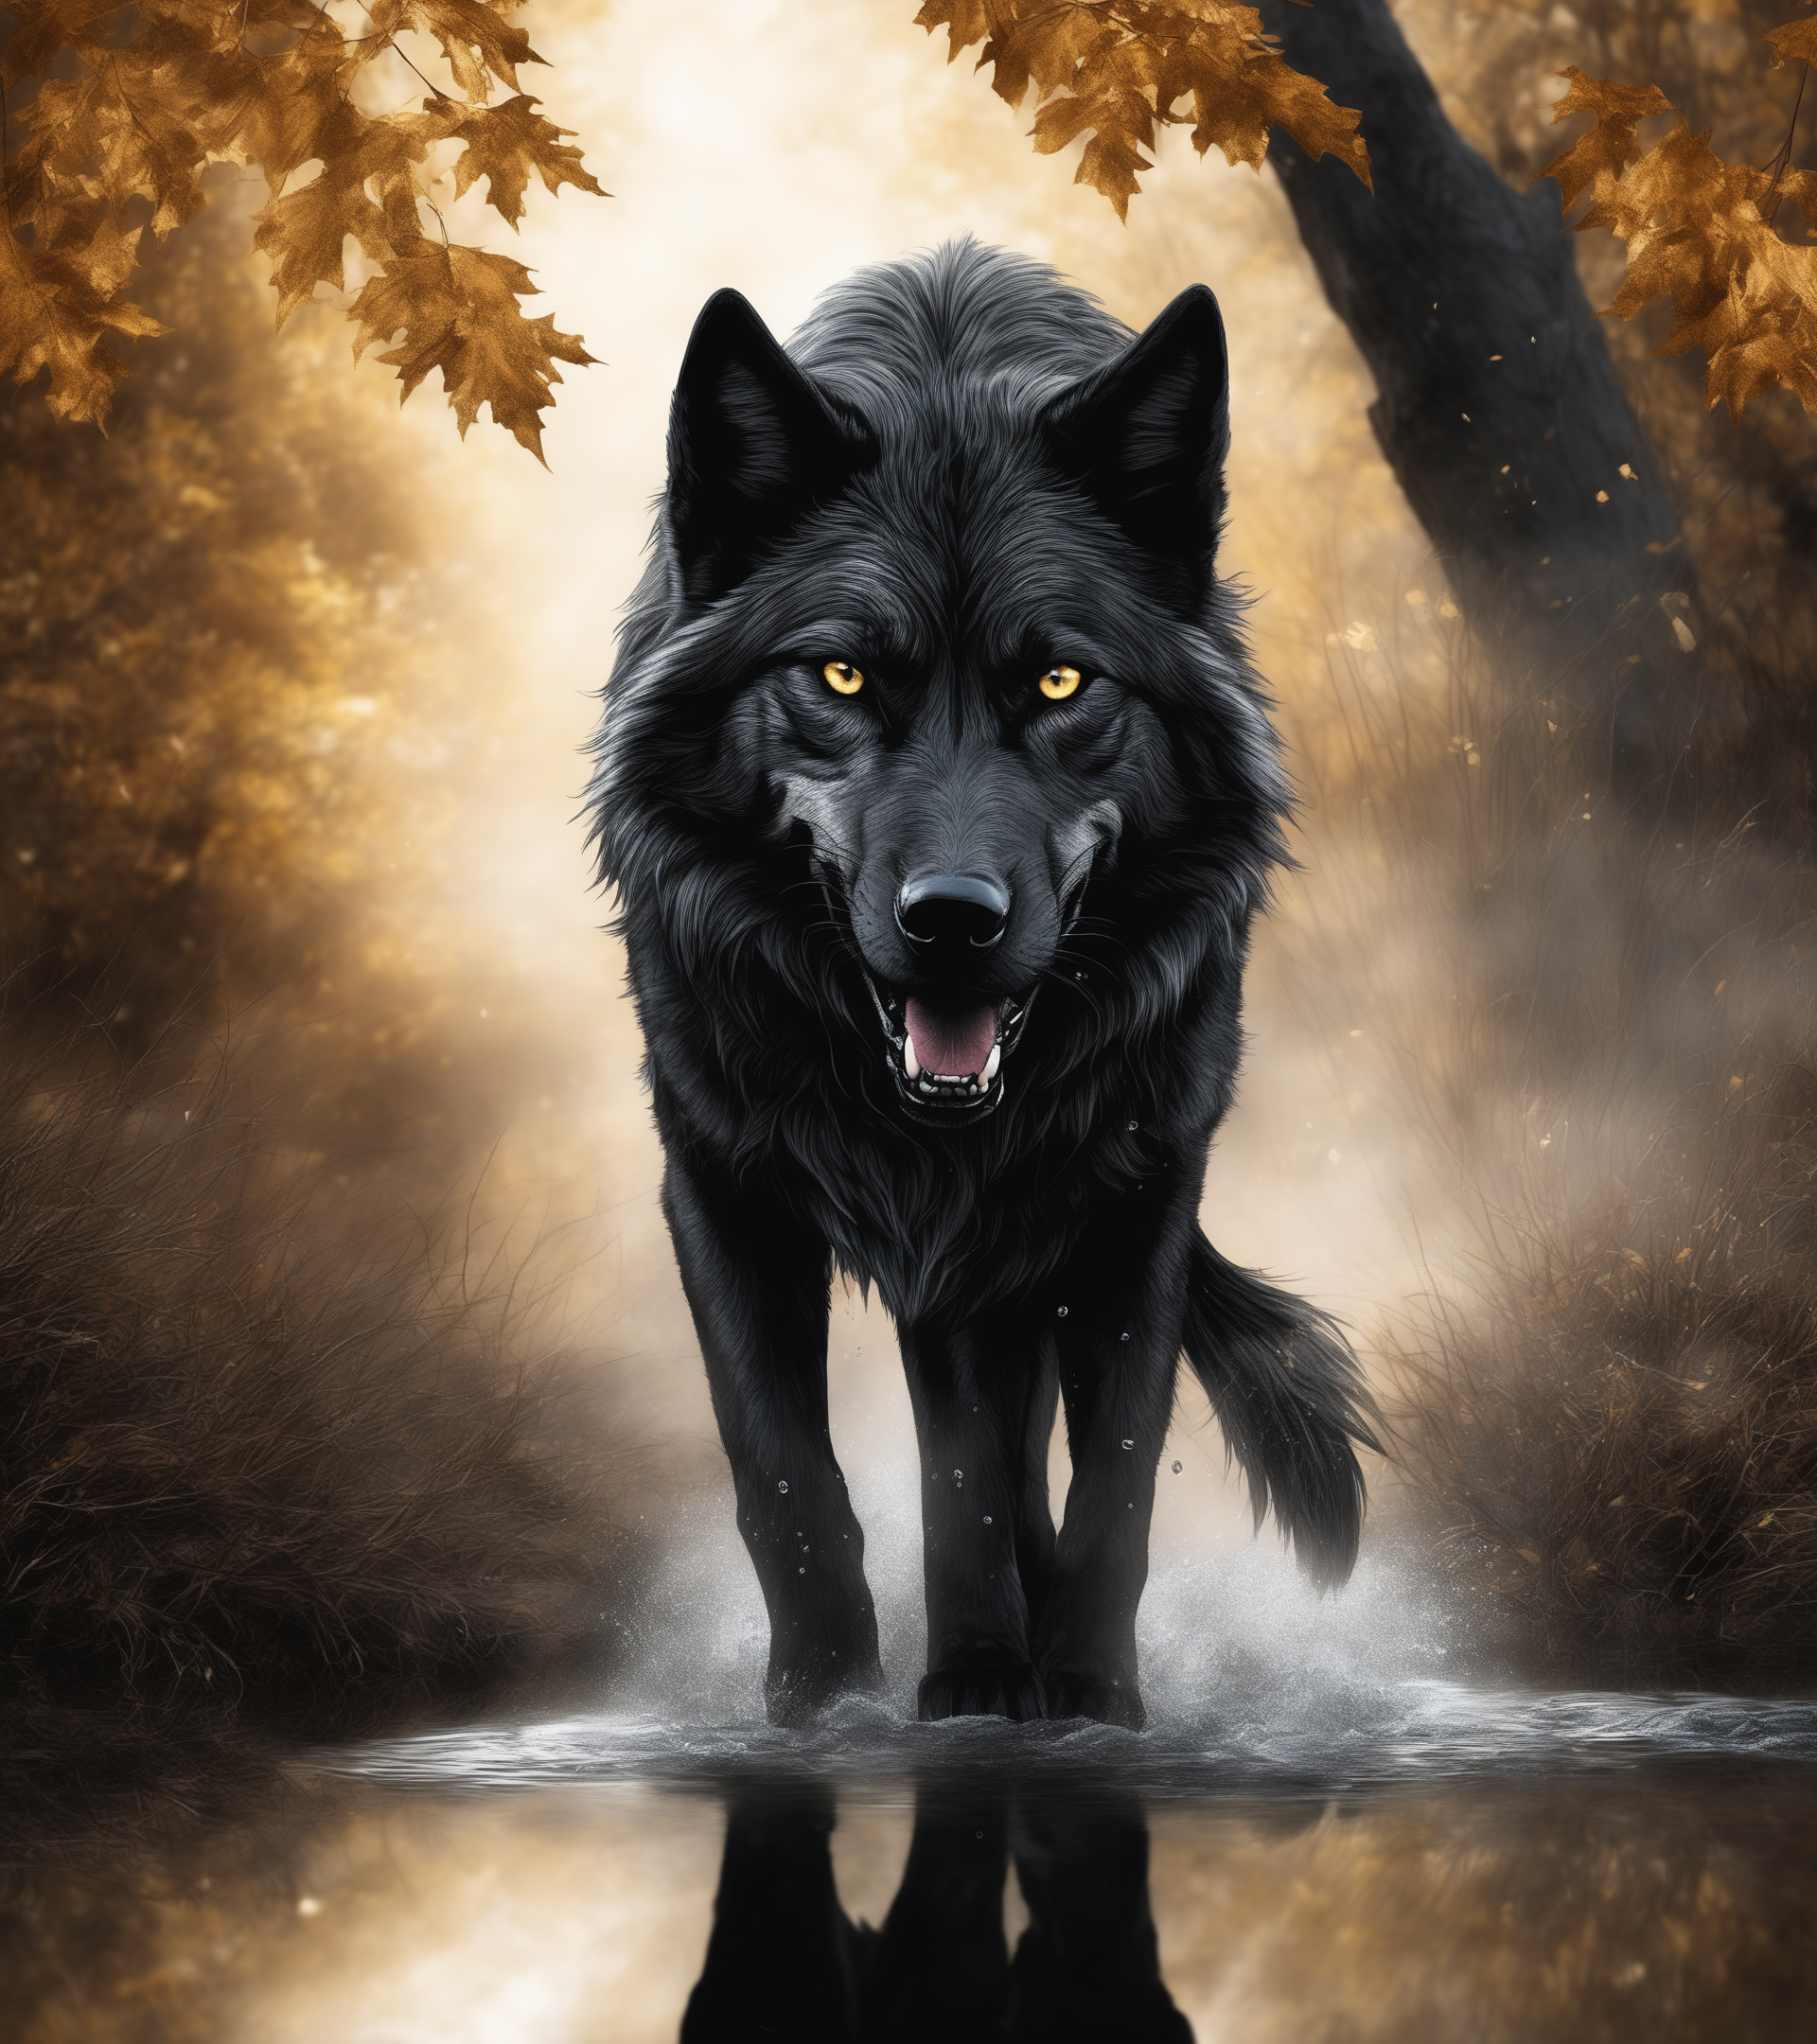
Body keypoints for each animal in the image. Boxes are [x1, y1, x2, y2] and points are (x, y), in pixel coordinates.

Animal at [589, 240, 1377, 1728]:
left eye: (1062, 680)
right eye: (841, 673)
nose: (952, 920)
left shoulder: (1135, 1195)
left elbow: (1107, 1478)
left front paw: (1075, 1695)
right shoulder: (719, 1185)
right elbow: (793, 1475)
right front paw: (835, 1700)